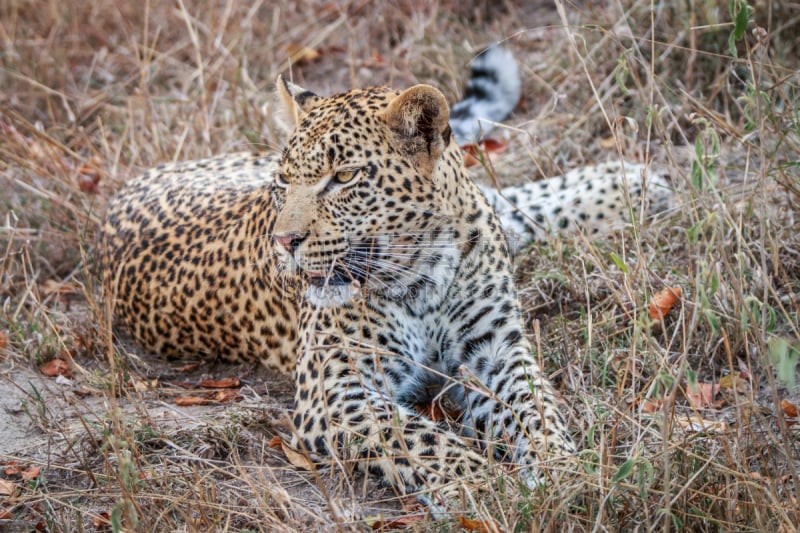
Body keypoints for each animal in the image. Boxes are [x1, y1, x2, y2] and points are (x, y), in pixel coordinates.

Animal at [100, 51, 672, 512]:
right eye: (283, 182)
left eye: (344, 177)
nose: (283, 241)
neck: (424, 270)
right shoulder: (335, 389)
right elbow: (420, 438)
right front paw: (489, 489)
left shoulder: (496, 350)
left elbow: (537, 411)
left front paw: (565, 471)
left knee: (506, 201)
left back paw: (632, 184)